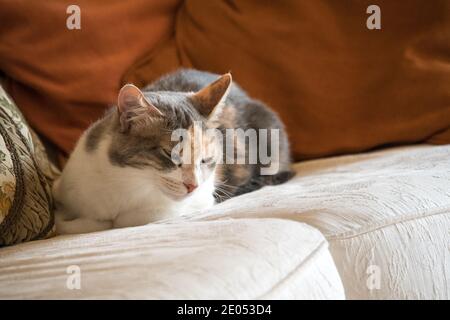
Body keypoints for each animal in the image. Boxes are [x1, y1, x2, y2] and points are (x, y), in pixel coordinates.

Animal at [52, 69, 294, 234]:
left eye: (205, 160)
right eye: (171, 154)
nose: (192, 185)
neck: (129, 183)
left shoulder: (201, 199)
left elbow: (128, 219)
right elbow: (63, 221)